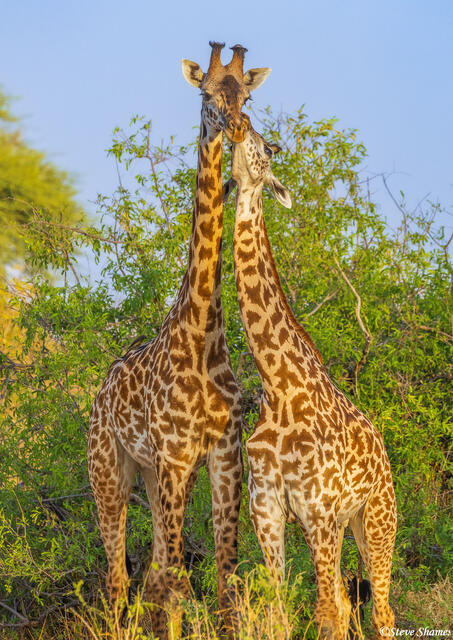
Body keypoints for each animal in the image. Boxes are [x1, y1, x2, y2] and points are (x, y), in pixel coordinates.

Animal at [88, 43, 271, 638]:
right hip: (110, 470)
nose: (235, 127)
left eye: (246, 96)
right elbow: (176, 584)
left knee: (152, 571)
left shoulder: (219, 454)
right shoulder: (173, 454)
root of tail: (99, 391)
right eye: (206, 94)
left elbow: (224, 575)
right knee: (121, 576)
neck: (202, 335)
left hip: (151, 474)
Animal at [223, 122, 397, 639]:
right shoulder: (268, 508)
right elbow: (280, 606)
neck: (279, 384)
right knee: (344, 597)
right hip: (338, 524)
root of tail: (383, 453)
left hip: (375, 517)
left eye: (269, 147)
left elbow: (324, 613)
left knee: (380, 610)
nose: (238, 130)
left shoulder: (321, 510)